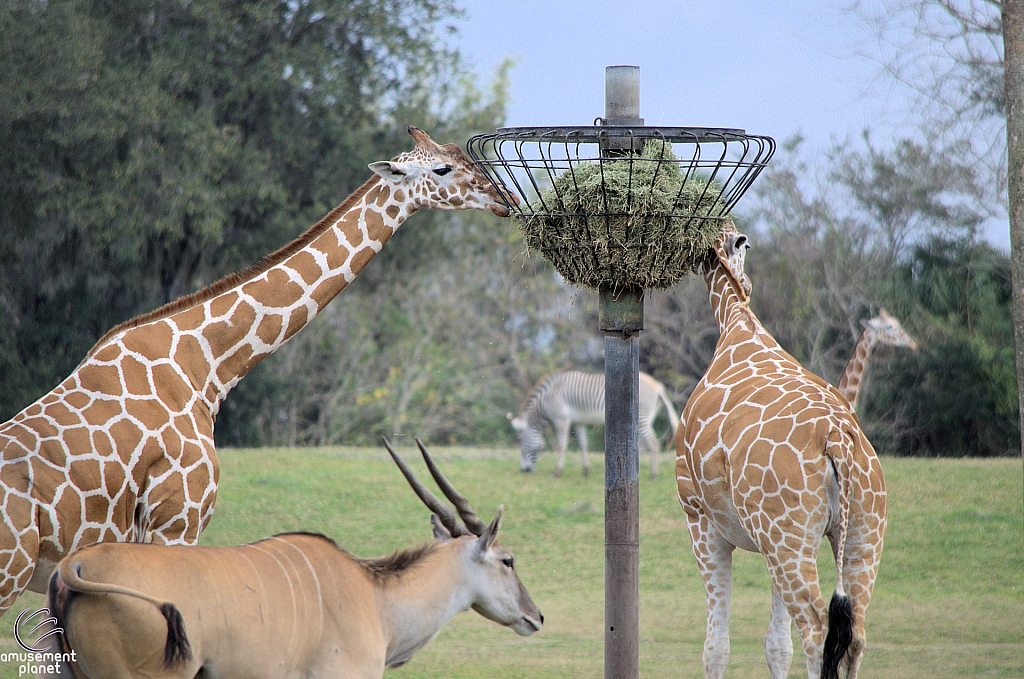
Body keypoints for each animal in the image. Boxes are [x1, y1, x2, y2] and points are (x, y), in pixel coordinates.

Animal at [505, 372, 679, 477]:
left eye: (520, 441)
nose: (524, 470)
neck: (547, 400)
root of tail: (658, 387)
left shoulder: (561, 419)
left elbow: (562, 445)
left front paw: (557, 472)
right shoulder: (578, 422)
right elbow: (583, 444)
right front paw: (585, 470)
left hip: (642, 417)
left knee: (653, 443)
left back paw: (653, 474)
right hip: (647, 418)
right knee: (643, 444)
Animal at [671, 223, 888, 679]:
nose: (749, 283)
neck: (737, 321)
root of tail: (837, 440)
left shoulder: (701, 521)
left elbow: (715, 647)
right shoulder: (774, 541)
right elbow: (776, 646)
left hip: (787, 538)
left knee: (818, 629)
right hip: (860, 533)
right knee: (855, 634)